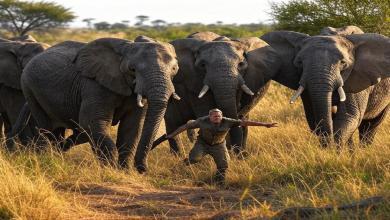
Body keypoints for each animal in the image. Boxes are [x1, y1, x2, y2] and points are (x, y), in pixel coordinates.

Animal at [12, 36, 180, 174]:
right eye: (132, 69)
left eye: (174, 69)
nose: (143, 169)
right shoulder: (94, 85)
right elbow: (93, 122)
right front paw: (110, 170)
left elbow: (132, 127)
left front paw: (125, 172)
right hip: (28, 87)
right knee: (46, 128)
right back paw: (49, 159)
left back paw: (59, 152)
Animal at [258, 31, 390, 147]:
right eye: (299, 63)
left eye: (343, 63)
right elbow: (314, 119)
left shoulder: (356, 79)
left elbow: (349, 116)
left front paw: (334, 152)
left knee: (370, 126)